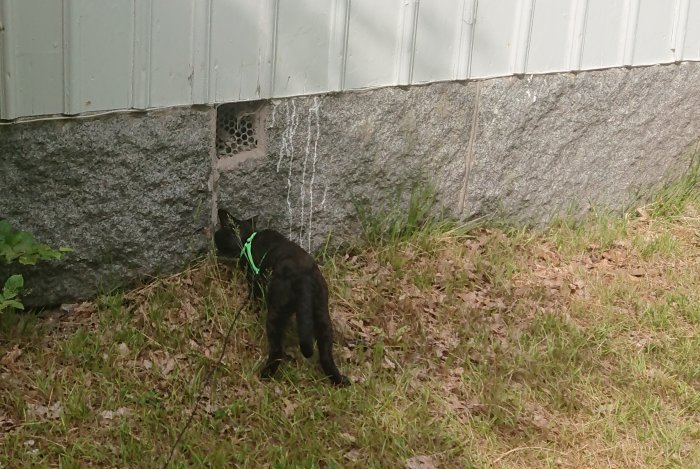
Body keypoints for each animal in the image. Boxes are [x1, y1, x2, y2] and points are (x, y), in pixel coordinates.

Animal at [213, 210, 350, 386]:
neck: (248, 237)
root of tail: (303, 278)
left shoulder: (253, 281)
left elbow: (253, 297)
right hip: (322, 315)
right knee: (326, 354)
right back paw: (339, 380)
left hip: (276, 313)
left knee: (277, 350)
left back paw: (265, 374)